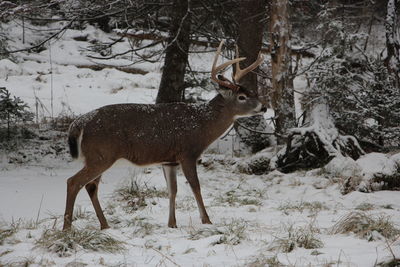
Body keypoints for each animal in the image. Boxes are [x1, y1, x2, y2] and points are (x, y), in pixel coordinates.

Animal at [63, 40, 266, 231]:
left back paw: (105, 226)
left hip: (97, 157)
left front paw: (172, 224)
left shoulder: (169, 160)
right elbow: (195, 186)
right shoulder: (187, 153)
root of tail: (78, 124)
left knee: (91, 186)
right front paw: (207, 220)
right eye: (242, 97)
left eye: (251, 92)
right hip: (101, 155)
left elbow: (172, 190)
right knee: (73, 182)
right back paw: (67, 228)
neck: (202, 124)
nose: (263, 107)